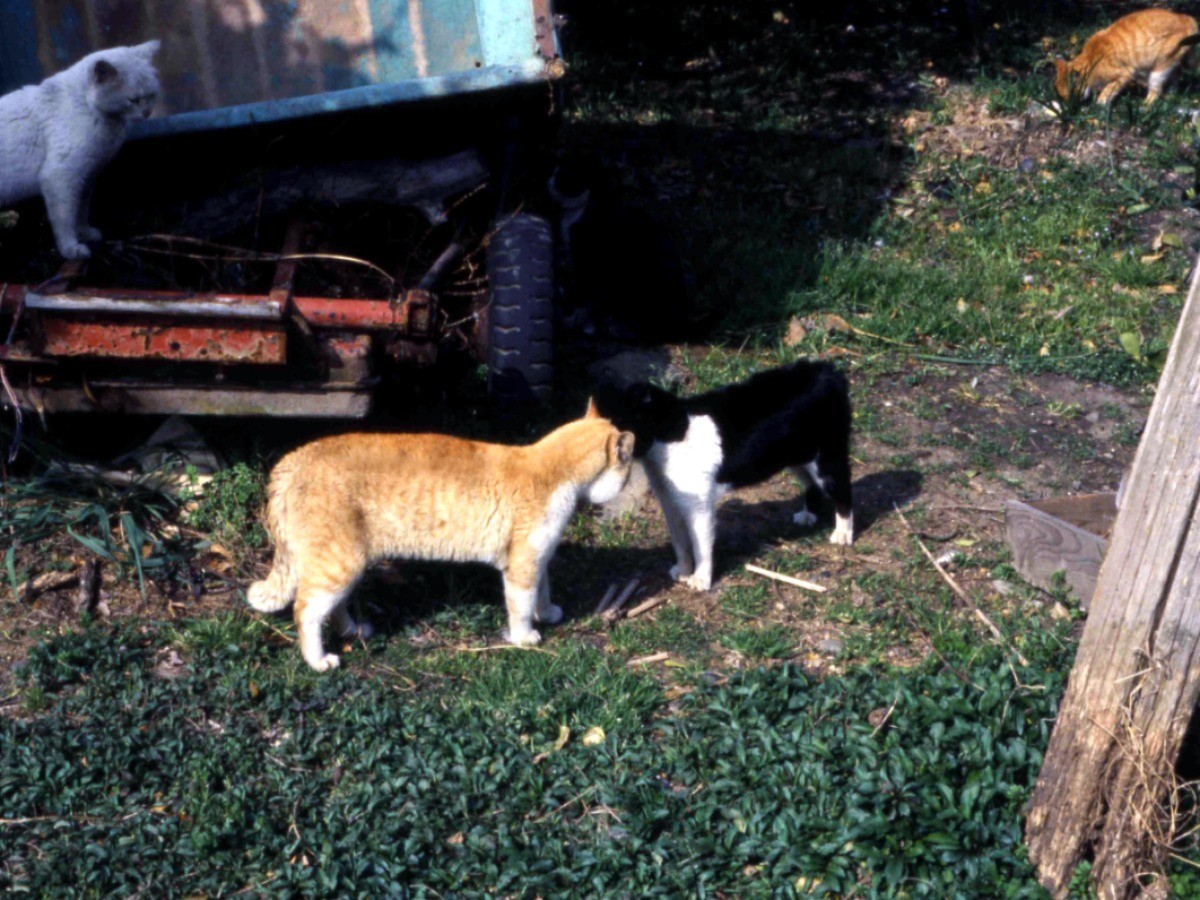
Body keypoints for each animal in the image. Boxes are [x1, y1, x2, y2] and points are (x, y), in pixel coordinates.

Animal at [0, 42, 160, 260]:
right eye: (133, 100)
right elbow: (65, 219)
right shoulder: (60, 177)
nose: (148, 113)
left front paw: (85, 233)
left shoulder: (86, 177)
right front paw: (71, 249)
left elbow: (81, 212)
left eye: (151, 96)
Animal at [250, 405, 638, 672]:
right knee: (306, 610)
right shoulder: (521, 565)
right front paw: (524, 636)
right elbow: (521, 605)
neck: (553, 473)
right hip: (338, 564)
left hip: (346, 565)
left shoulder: (538, 559)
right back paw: (318, 661)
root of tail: (292, 462)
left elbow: (542, 592)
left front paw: (547, 612)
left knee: (333, 607)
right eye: (627, 466)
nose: (629, 478)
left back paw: (353, 631)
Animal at [595, 360, 849, 592]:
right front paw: (683, 570)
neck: (669, 437)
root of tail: (829, 370)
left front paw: (701, 579)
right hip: (798, 459)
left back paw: (843, 535)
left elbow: (700, 545)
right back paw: (808, 516)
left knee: (843, 494)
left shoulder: (699, 507)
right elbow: (679, 541)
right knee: (813, 486)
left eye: (617, 424)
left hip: (827, 458)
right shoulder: (670, 502)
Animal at [1060, 8, 1200, 106]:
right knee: (1176, 76)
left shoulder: (1125, 73)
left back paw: (1147, 105)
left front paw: (1101, 103)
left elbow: (1108, 90)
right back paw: (1171, 94)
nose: (1070, 105)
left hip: (1159, 69)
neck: (1091, 58)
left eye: (1070, 94)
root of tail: (1187, 19)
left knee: (1156, 90)